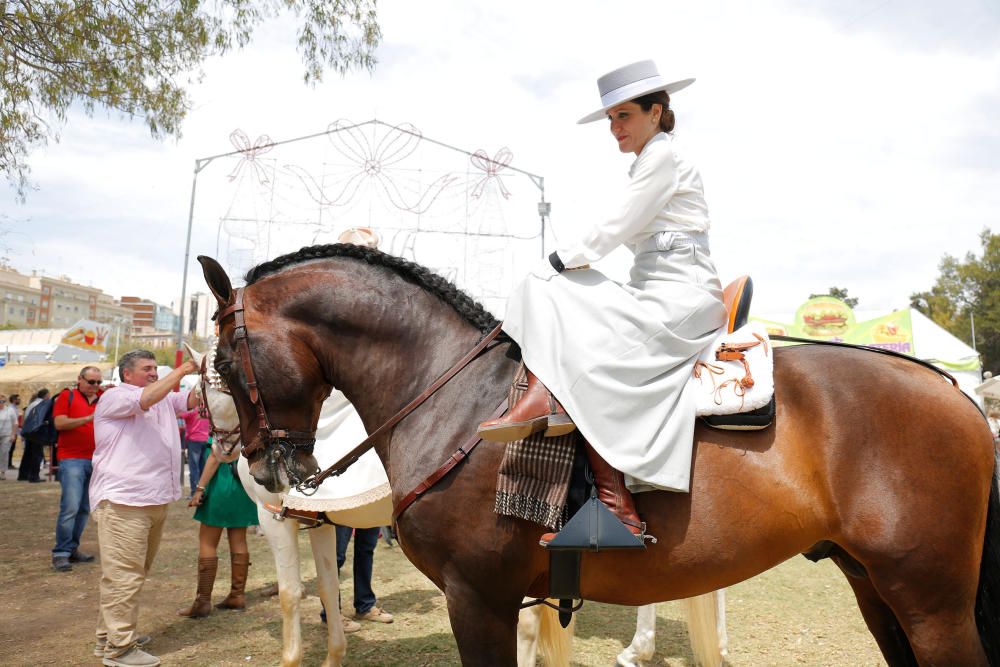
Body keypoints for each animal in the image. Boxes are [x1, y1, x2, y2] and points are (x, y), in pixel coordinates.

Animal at [189, 344, 392, 667]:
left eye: (199, 392)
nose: (220, 450)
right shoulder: (320, 521)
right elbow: (328, 585)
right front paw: (334, 656)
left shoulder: (274, 518)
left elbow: (289, 593)